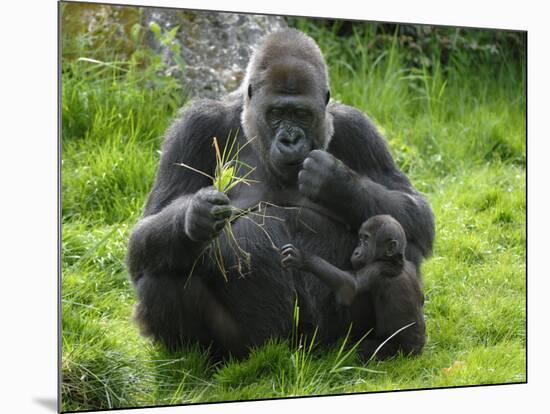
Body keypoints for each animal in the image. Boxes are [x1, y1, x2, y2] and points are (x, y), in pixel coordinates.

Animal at [282, 213, 430, 360]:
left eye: (366, 241)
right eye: (360, 239)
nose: (356, 251)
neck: (394, 259)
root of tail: (418, 351)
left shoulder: (376, 269)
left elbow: (349, 287)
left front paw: (304, 260)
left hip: (401, 352)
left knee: (367, 349)